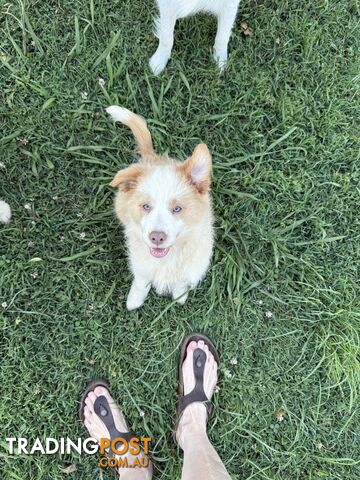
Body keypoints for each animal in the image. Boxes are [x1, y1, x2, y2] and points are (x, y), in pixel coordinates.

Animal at [107, 105, 214, 310]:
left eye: (177, 209)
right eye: (146, 206)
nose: (156, 238)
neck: (166, 258)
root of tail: (152, 159)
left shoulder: (193, 264)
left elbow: (181, 281)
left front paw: (179, 296)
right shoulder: (142, 263)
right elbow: (141, 281)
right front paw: (134, 301)